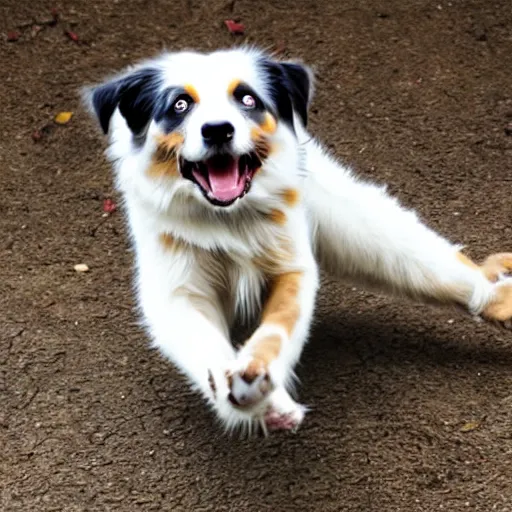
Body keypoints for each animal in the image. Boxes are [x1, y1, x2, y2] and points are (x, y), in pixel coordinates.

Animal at [84, 46, 512, 434]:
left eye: (248, 99)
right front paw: (258, 404)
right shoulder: (176, 290)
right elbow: (206, 348)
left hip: (365, 229)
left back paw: (498, 299)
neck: (228, 219)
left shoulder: (291, 265)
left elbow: (279, 327)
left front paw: (258, 373)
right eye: (180, 104)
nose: (218, 129)